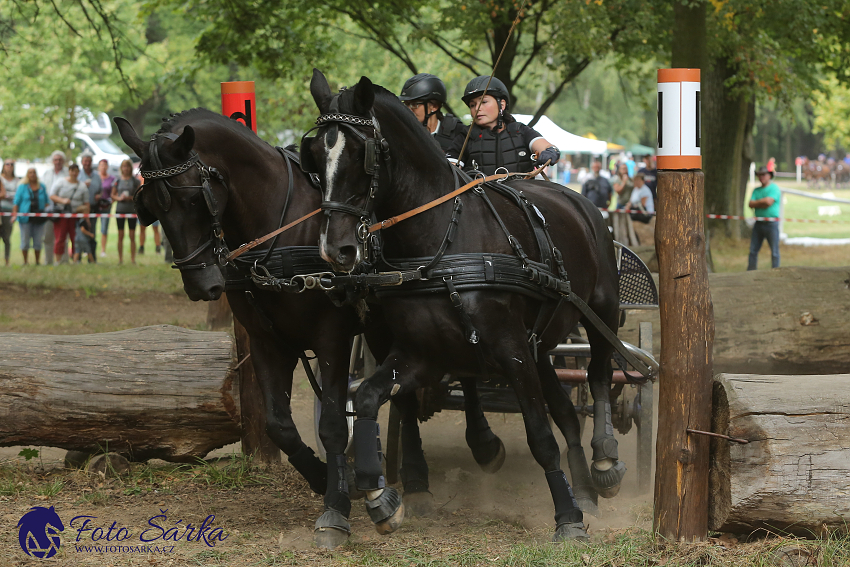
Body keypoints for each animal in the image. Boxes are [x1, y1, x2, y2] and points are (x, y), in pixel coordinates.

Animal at [116, 111, 506, 552]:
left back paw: (480, 446)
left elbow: (333, 425)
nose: (202, 286)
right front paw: (328, 478)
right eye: (150, 206)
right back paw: (416, 482)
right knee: (404, 397)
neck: (279, 228)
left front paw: (336, 508)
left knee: (459, 375)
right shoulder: (267, 342)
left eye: (195, 199)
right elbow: (279, 425)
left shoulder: (331, 338)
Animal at [304, 71, 624, 540]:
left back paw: (604, 459)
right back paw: (584, 489)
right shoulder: (420, 353)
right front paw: (381, 496)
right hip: (540, 346)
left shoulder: (511, 348)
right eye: (313, 156)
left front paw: (566, 519)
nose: (336, 249)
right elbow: (366, 397)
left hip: (599, 313)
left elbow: (540, 436)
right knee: (566, 413)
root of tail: (580, 202)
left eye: (362, 154)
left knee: (599, 376)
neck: (441, 239)